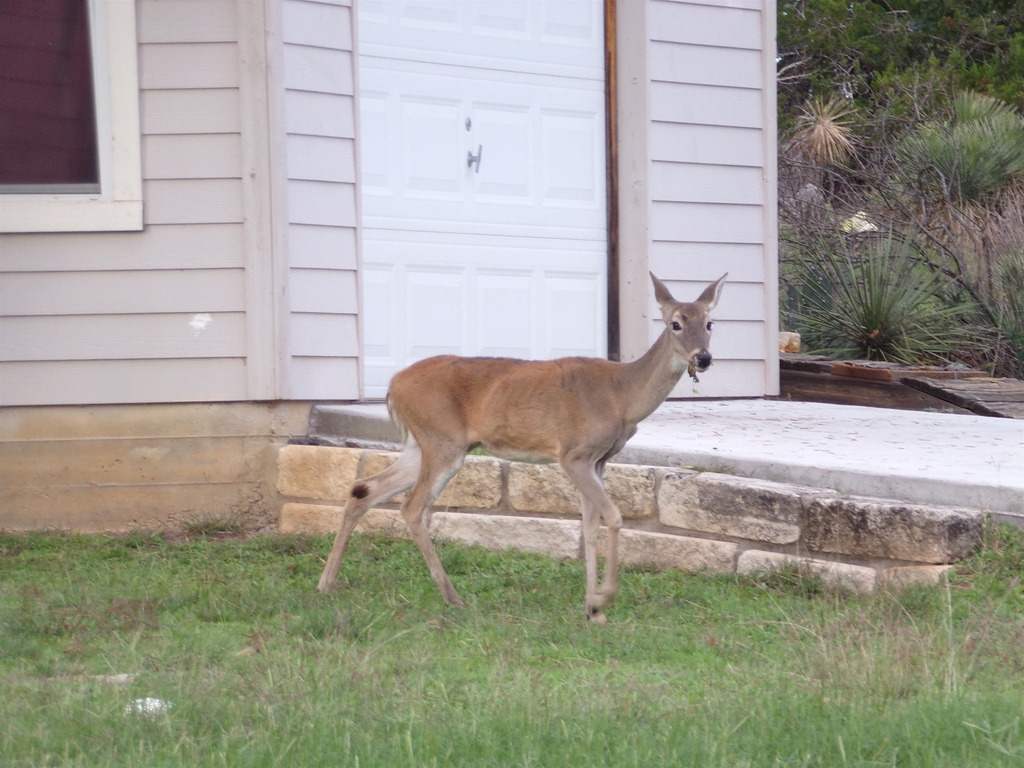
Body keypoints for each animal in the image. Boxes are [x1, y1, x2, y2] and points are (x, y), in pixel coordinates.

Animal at [319, 274, 729, 622]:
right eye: (675, 323)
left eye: (710, 323)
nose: (703, 358)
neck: (622, 397)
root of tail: (392, 385)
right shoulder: (574, 454)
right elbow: (613, 517)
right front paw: (603, 599)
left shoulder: (599, 460)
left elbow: (590, 527)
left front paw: (592, 609)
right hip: (442, 442)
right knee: (412, 507)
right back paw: (453, 597)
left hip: (421, 445)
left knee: (364, 488)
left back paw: (327, 582)